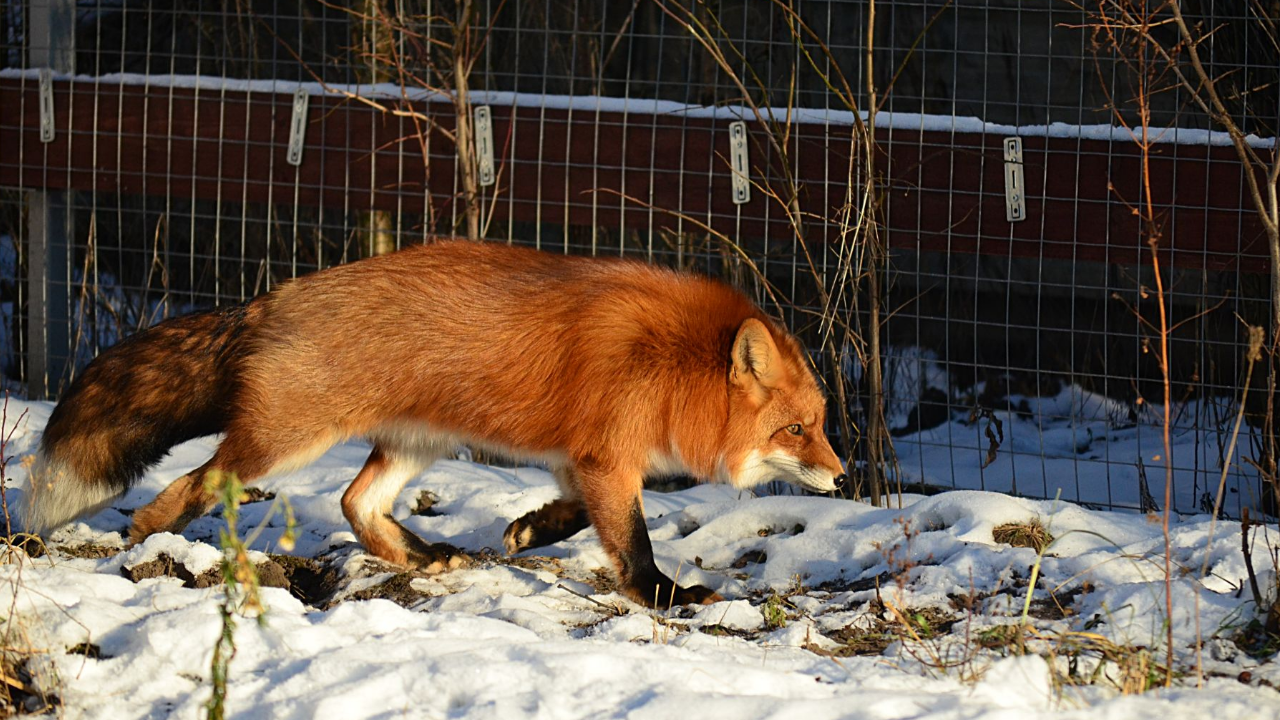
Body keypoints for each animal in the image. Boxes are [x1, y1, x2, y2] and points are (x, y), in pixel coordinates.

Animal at [24, 238, 844, 602]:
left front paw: (530, 532)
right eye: (796, 430)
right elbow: (632, 544)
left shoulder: (581, 456)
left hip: (418, 445)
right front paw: (667, 597)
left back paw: (419, 557)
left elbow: (577, 515)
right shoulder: (607, 457)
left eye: (818, 423)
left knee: (356, 503)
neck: (672, 365)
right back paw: (147, 545)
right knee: (191, 486)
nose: (841, 478)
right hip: (281, 445)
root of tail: (268, 301)